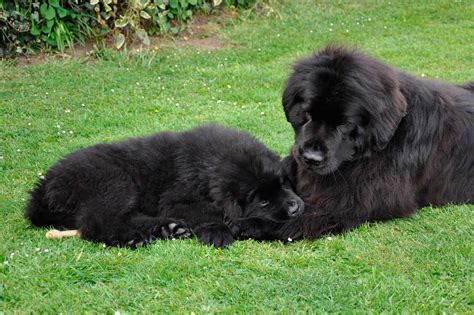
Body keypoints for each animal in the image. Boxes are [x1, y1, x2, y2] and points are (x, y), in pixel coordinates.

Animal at [25, 124, 304, 248]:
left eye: (283, 184)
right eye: (263, 201)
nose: (295, 209)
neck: (209, 163)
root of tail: (45, 185)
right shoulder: (177, 198)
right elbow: (208, 211)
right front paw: (218, 231)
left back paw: (168, 228)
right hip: (113, 182)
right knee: (97, 223)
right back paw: (135, 238)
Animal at [241, 45, 474, 241]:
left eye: (345, 124)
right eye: (307, 114)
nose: (311, 158)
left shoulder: (353, 201)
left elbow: (297, 216)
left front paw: (244, 223)